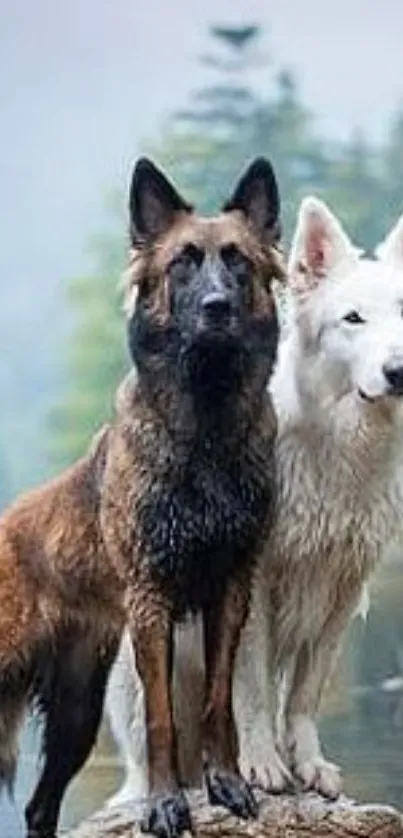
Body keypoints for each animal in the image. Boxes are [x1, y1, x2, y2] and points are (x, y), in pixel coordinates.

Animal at [102, 200, 403, 812]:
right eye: (353, 319)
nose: (399, 372)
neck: (333, 445)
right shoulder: (256, 578)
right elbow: (252, 685)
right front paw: (261, 763)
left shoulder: (343, 588)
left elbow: (304, 694)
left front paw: (308, 763)